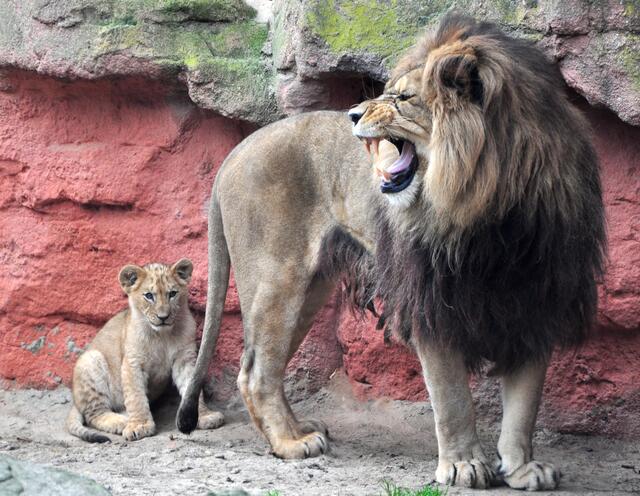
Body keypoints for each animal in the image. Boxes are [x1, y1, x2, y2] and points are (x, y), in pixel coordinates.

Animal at [66, 259, 224, 443]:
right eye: (149, 295)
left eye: (172, 293)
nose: (163, 317)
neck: (162, 336)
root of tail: (75, 400)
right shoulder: (132, 363)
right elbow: (136, 396)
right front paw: (139, 426)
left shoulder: (184, 359)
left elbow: (192, 387)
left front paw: (204, 416)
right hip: (91, 360)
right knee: (95, 414)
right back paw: (123, 422)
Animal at [177, 13, 605, 491]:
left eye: (402, 98)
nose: (352, 113)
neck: (491, 205)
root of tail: (235, 152)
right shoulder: (431, 300)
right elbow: (452, 397)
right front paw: (463, 465)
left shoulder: (539, 298)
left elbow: (525, 403)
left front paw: (522, 467)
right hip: (278, 279)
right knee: (254, 372)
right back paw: (291, 443)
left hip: (309, 289)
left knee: (265, 365)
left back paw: (295, 429)